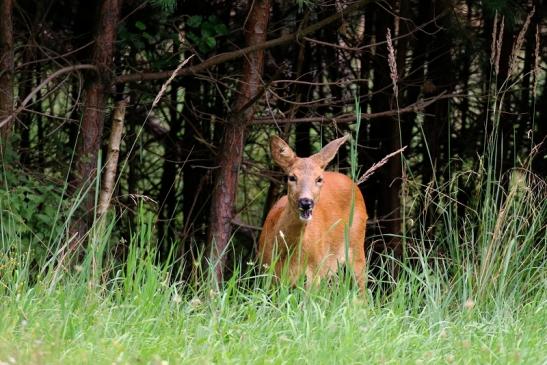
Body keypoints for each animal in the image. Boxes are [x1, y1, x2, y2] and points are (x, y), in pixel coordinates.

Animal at [260, 134, 368, 290]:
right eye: (292, 177)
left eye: (319, 179)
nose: (306, 202)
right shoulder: (267, 271)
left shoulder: (315, 272)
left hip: (357, 245)